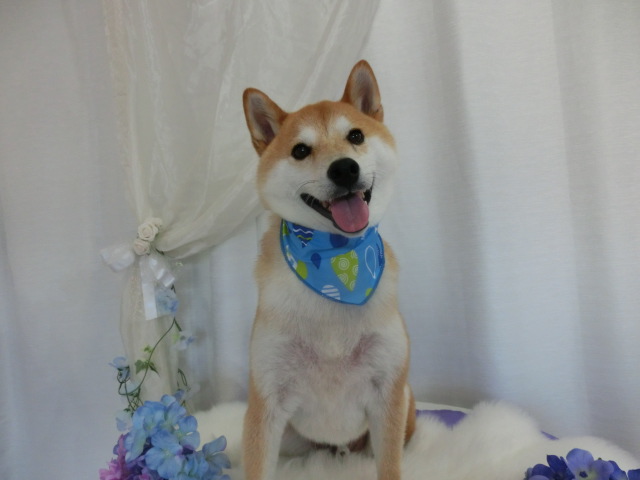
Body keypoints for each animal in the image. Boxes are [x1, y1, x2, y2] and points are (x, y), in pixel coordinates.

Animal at [241, 60, 415, 480]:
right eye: (301, 150)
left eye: (356, 135)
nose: (344, 169)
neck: (336, 264)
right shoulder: (266, 398)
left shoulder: (389, 389)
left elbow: (390, 467)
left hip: (407, 402)